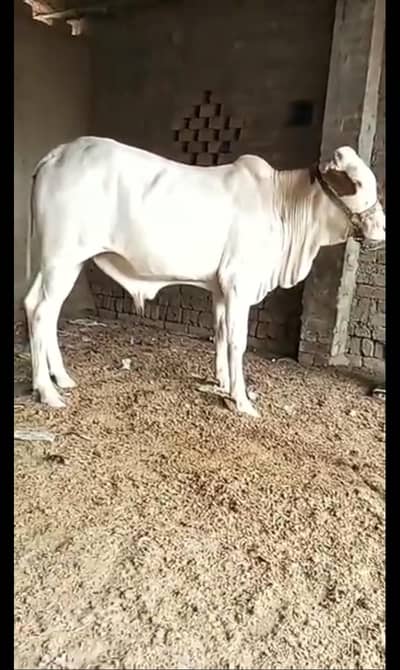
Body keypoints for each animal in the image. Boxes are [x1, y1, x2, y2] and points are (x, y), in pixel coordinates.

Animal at [24, 137, 385, 416]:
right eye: (358, 184)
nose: (381, 228)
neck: (284, 207)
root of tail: (59, 153)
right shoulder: (239, 283)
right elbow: (237, 341)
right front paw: (242, 400)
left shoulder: (221, 288)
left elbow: (221, 333)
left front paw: (222, 382)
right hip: (62, 257)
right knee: (42, 312)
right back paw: (47, 391)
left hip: (62, 263)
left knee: (36, 307)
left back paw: (61, 378)